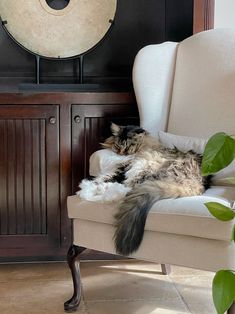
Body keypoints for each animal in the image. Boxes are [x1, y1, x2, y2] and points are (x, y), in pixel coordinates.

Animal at [79, 122, 211, 255]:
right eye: (117, 145)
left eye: (129, 147)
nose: (122, 153)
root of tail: (199, 184)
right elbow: (104, 177)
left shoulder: (124, 169)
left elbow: (106, 178)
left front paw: (89, 186)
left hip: (147, 169)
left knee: (126, 188)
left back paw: (94, 193)